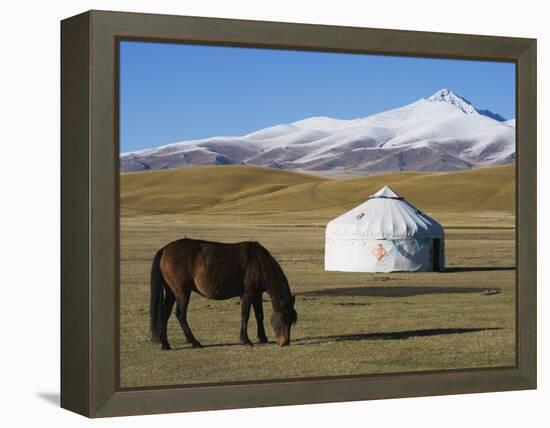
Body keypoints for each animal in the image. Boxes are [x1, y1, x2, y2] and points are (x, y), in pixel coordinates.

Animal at [150, 237, 298, 352]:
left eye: (292, 320)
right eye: (284, 318)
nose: (285, 342)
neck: (258, 262)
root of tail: (165, 249)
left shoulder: (257, 294)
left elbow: (259, 315)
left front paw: (263, 338)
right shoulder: (247, 294)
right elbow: (245, 315)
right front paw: (245, 340)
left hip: (171, 292)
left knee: (165, 312)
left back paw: (165, 344)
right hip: (182, 292)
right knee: (180, 314)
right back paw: (194, 342)